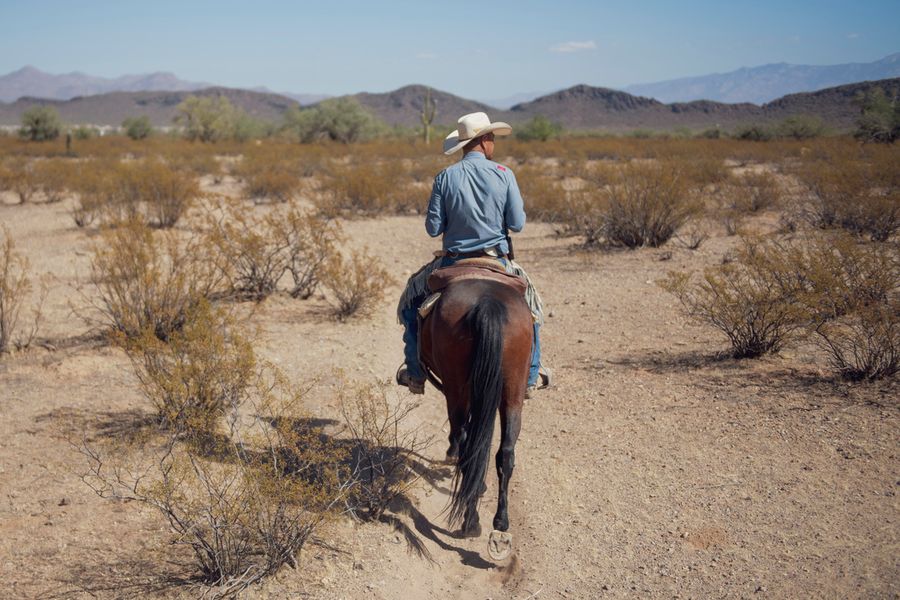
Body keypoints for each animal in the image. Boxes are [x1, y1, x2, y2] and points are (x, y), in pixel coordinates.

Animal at [418, 276, 532, 552]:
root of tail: (488, 304)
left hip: (458, 390)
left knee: (467, 442)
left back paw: (471, 521)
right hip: (513, 391)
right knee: (504, 453)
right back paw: (500, 522)